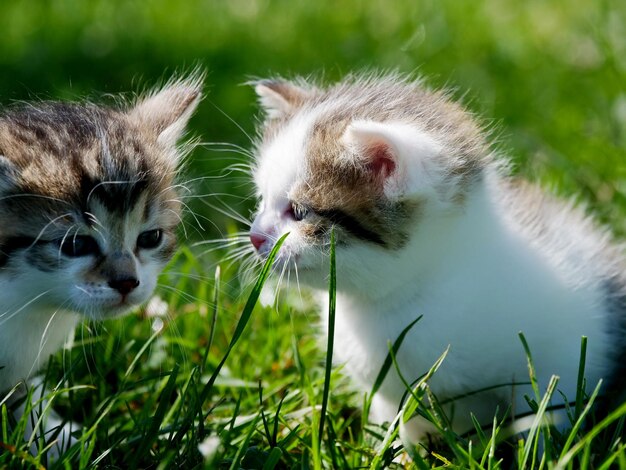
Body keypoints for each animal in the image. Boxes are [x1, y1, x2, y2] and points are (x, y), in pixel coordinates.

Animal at [247, 73, 624, 440]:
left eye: (299, 212)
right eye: (262, 200)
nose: (254, 236)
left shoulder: (559, 362)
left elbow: (542, 421)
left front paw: (541, 449)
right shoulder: (389, 395)